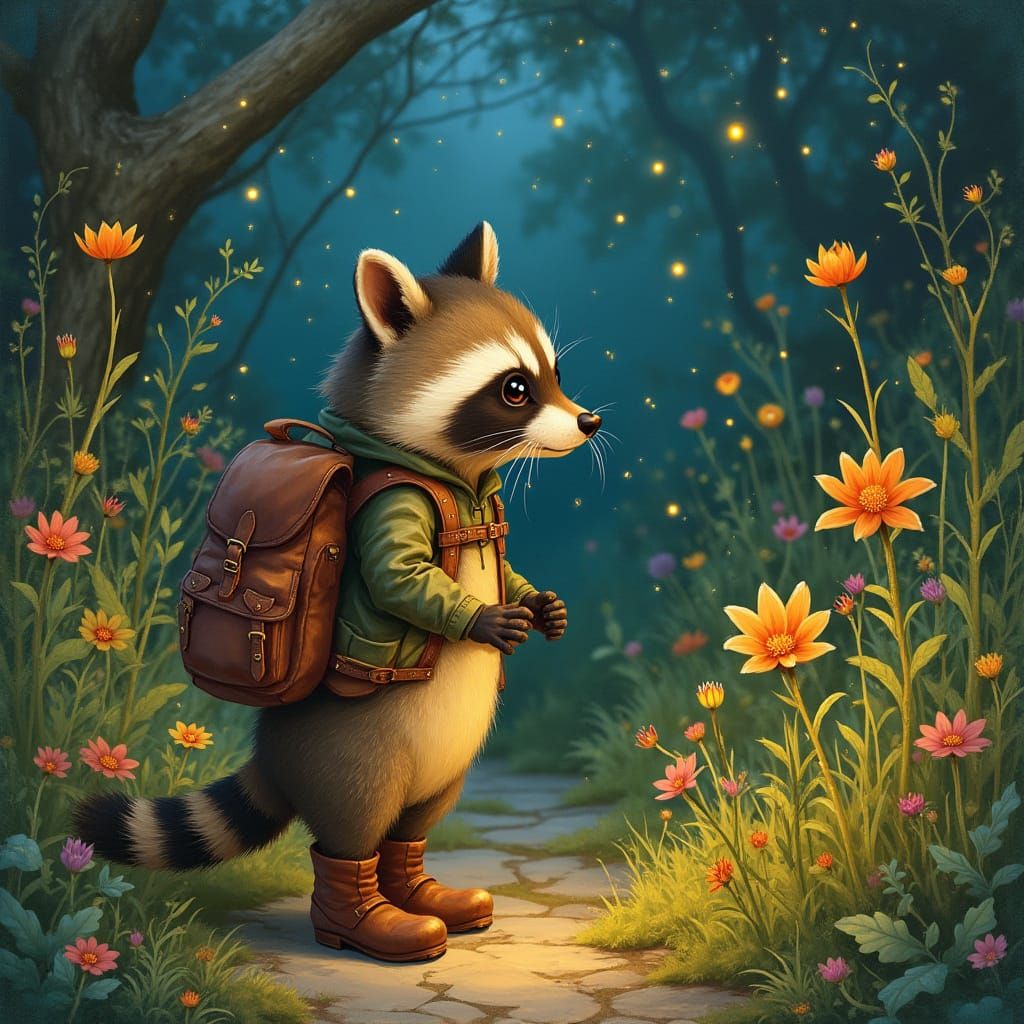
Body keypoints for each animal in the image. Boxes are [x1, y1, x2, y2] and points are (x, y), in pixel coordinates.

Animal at [75, 222, 601, 963]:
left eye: (556, 375)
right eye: (516, 389)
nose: (589, 423)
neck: (459, 478)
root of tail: (274, 756)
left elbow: (511, 570)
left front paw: (536, 601)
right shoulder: (390, 506)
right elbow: (398, 577)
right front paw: (476, 616)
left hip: (449, 759)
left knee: (416, 818)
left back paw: (421, 890)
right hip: (354, 747)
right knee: (354, 821)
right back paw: (364, 918)